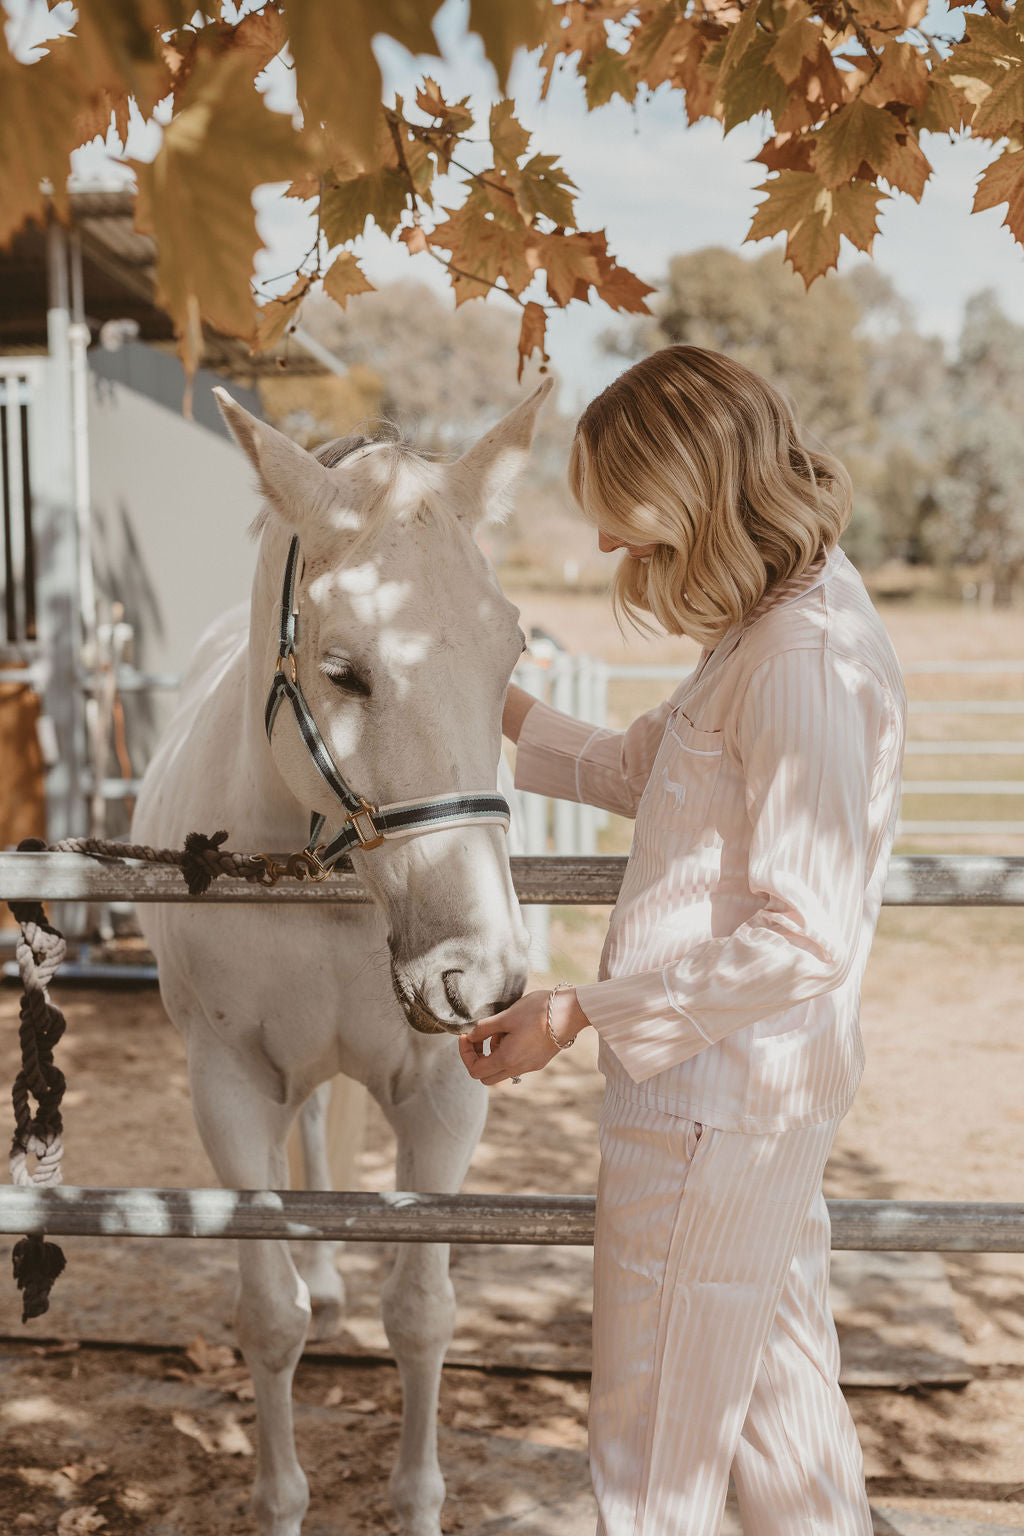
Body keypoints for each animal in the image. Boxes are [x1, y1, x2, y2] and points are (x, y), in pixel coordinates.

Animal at [137, 374, 555, 1536]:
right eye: (344, 672)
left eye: (510, 656)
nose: (480, 976)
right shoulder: (227, 1091)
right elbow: (269, 1319)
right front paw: (281, 1500)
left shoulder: (444, 1100)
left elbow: (421, 1313)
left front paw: (417, 1502)